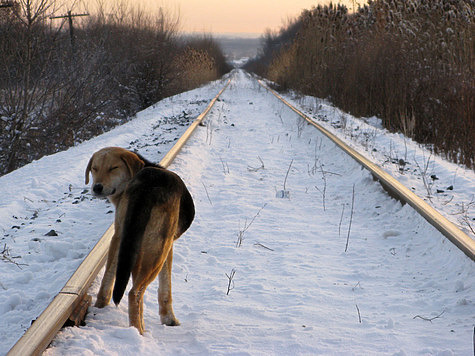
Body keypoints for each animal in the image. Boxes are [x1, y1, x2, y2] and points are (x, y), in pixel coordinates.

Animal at [84, 147, 194, 334]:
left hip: (127, 240)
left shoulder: (119, 236)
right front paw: (169, 319)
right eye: (95, 168)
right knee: (134, 293)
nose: (97, 187)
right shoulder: (169, 247)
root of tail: (147, 187)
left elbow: (108, 278)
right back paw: (139, 332)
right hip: (157, 250)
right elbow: (165, 288)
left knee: (117, 287)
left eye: (113, 168)